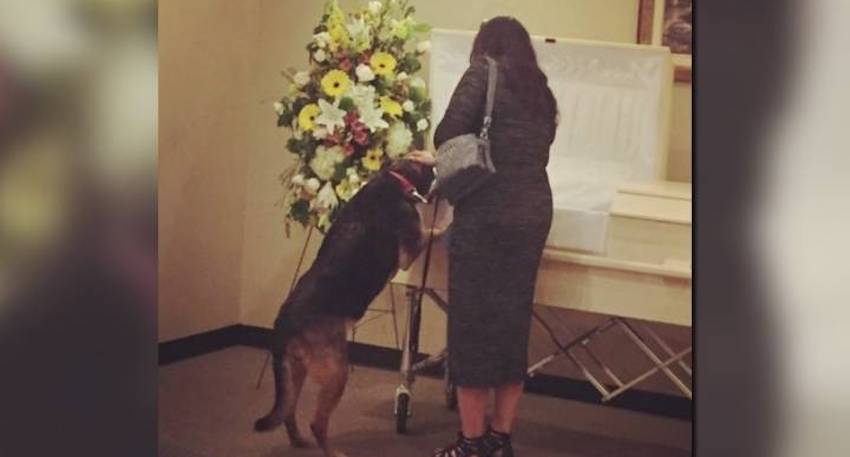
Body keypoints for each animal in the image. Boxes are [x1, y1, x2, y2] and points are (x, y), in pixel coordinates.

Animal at [252, 159, 438, 456]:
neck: (395, 178)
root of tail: (283, 322)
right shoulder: (412, 248)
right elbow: (432, 233)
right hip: (336, 372)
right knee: (317, 422)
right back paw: (332, 451)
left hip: (297, 370)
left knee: (289, 411)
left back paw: (298, 441)